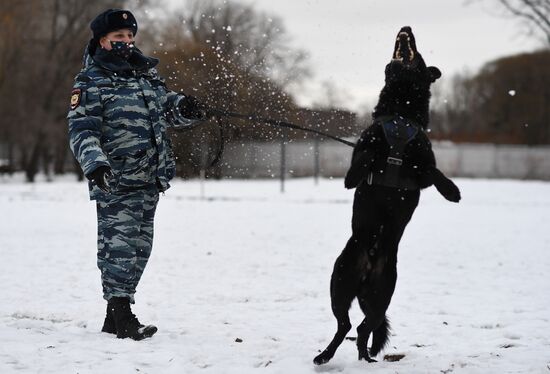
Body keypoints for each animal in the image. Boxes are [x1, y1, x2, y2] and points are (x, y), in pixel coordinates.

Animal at [314, 26, 462, 366]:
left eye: (418, 54)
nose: (406, 28)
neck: (400, 114)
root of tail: (368, 266)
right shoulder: (362, 153)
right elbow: (363, 160)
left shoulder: (421, 172)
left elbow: (433, 170)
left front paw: (452, 191)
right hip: (339, 284)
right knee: (346, 325)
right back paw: (325, 356)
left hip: (382, 295)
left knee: (363, 327)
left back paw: (363, 357)